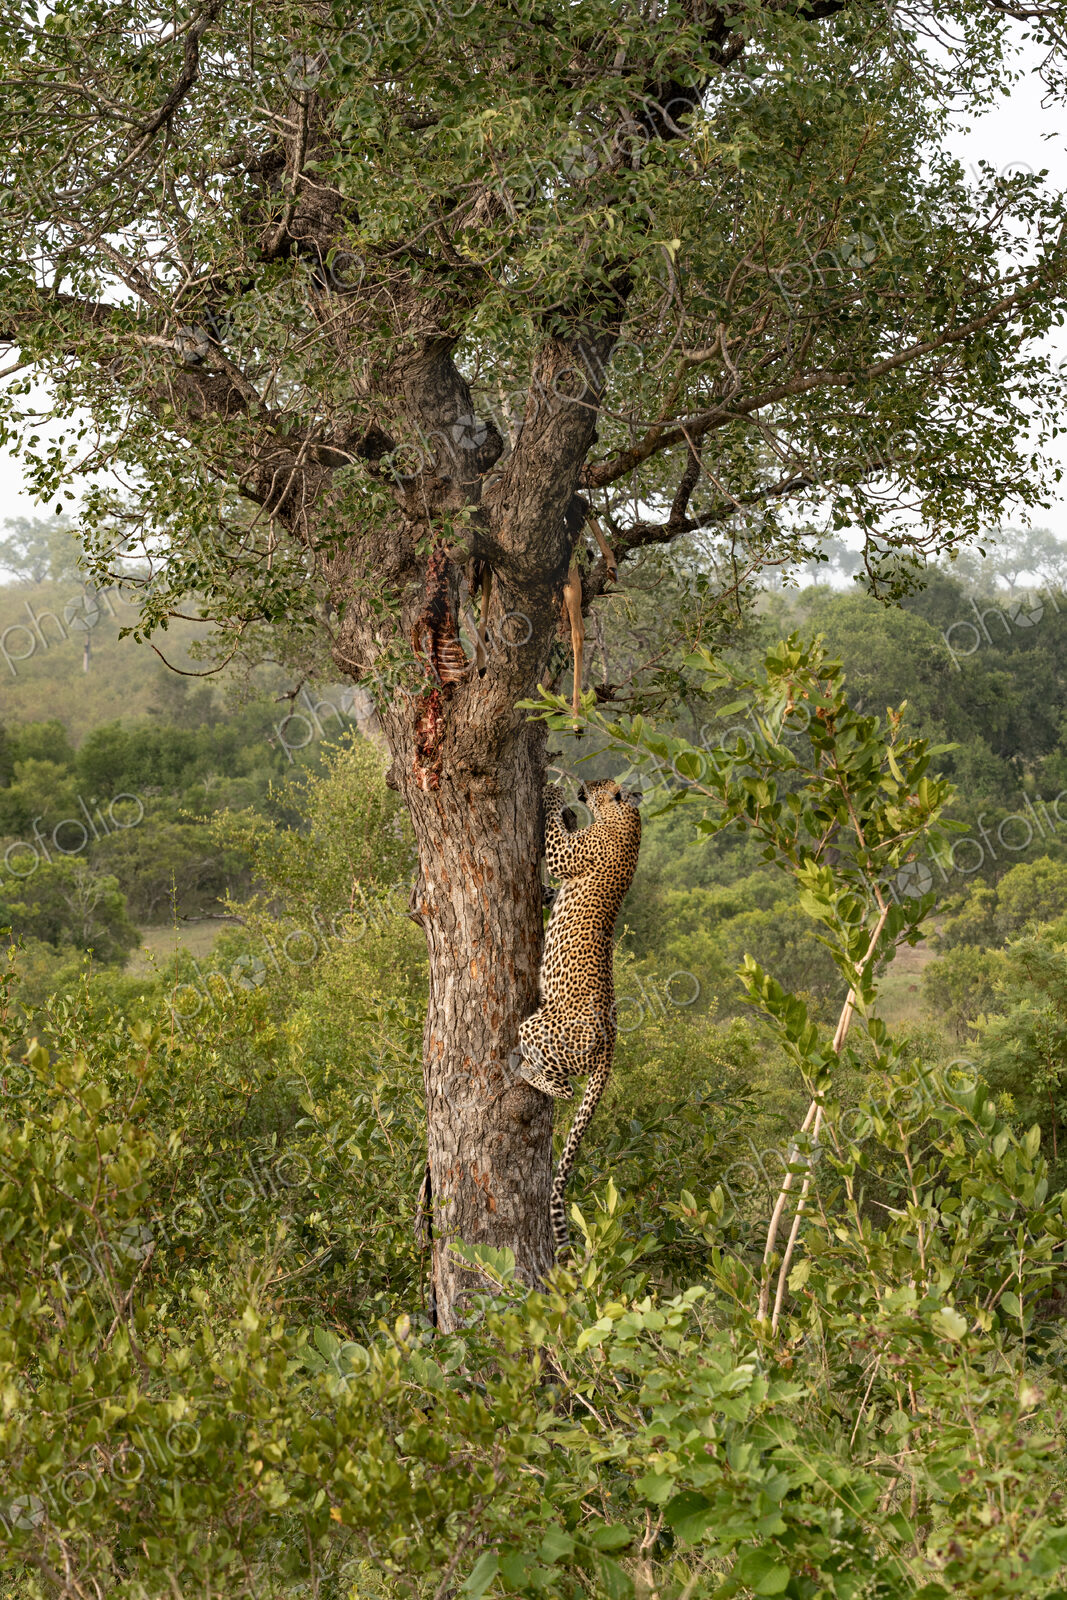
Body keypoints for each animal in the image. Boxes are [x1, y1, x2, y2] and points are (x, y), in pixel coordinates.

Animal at [518, 779, 642, 1253]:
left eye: (601, 783)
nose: (584, 784)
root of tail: (611, 1045)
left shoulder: (565, 854)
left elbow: (553, 836)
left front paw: (554, 795)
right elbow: (549, 890)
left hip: (539, 1027)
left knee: (565, 1089)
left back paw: (526, 1072)